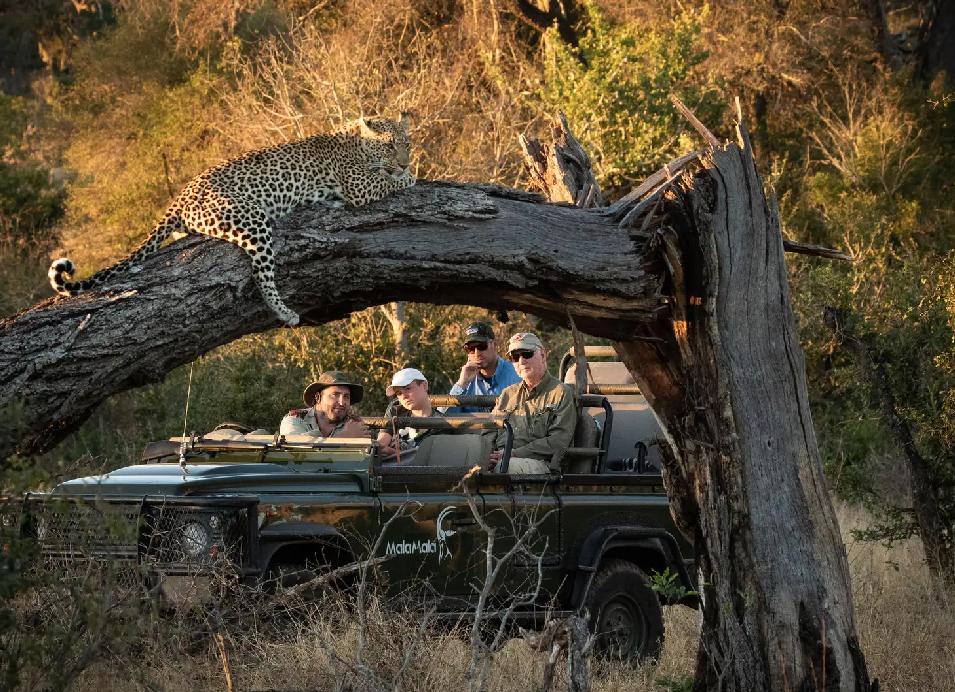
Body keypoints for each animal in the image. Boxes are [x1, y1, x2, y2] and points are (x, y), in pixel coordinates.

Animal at [48, 114, 416, 326]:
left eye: (407, 143)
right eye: (390, 146)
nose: (404, 160)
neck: (357, 141)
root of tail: (181, 195)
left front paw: (409, 171)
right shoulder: (359, 186)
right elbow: (390, 180)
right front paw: (410, 176)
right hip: (252, 218)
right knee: (261, 275)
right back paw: (285, 312)